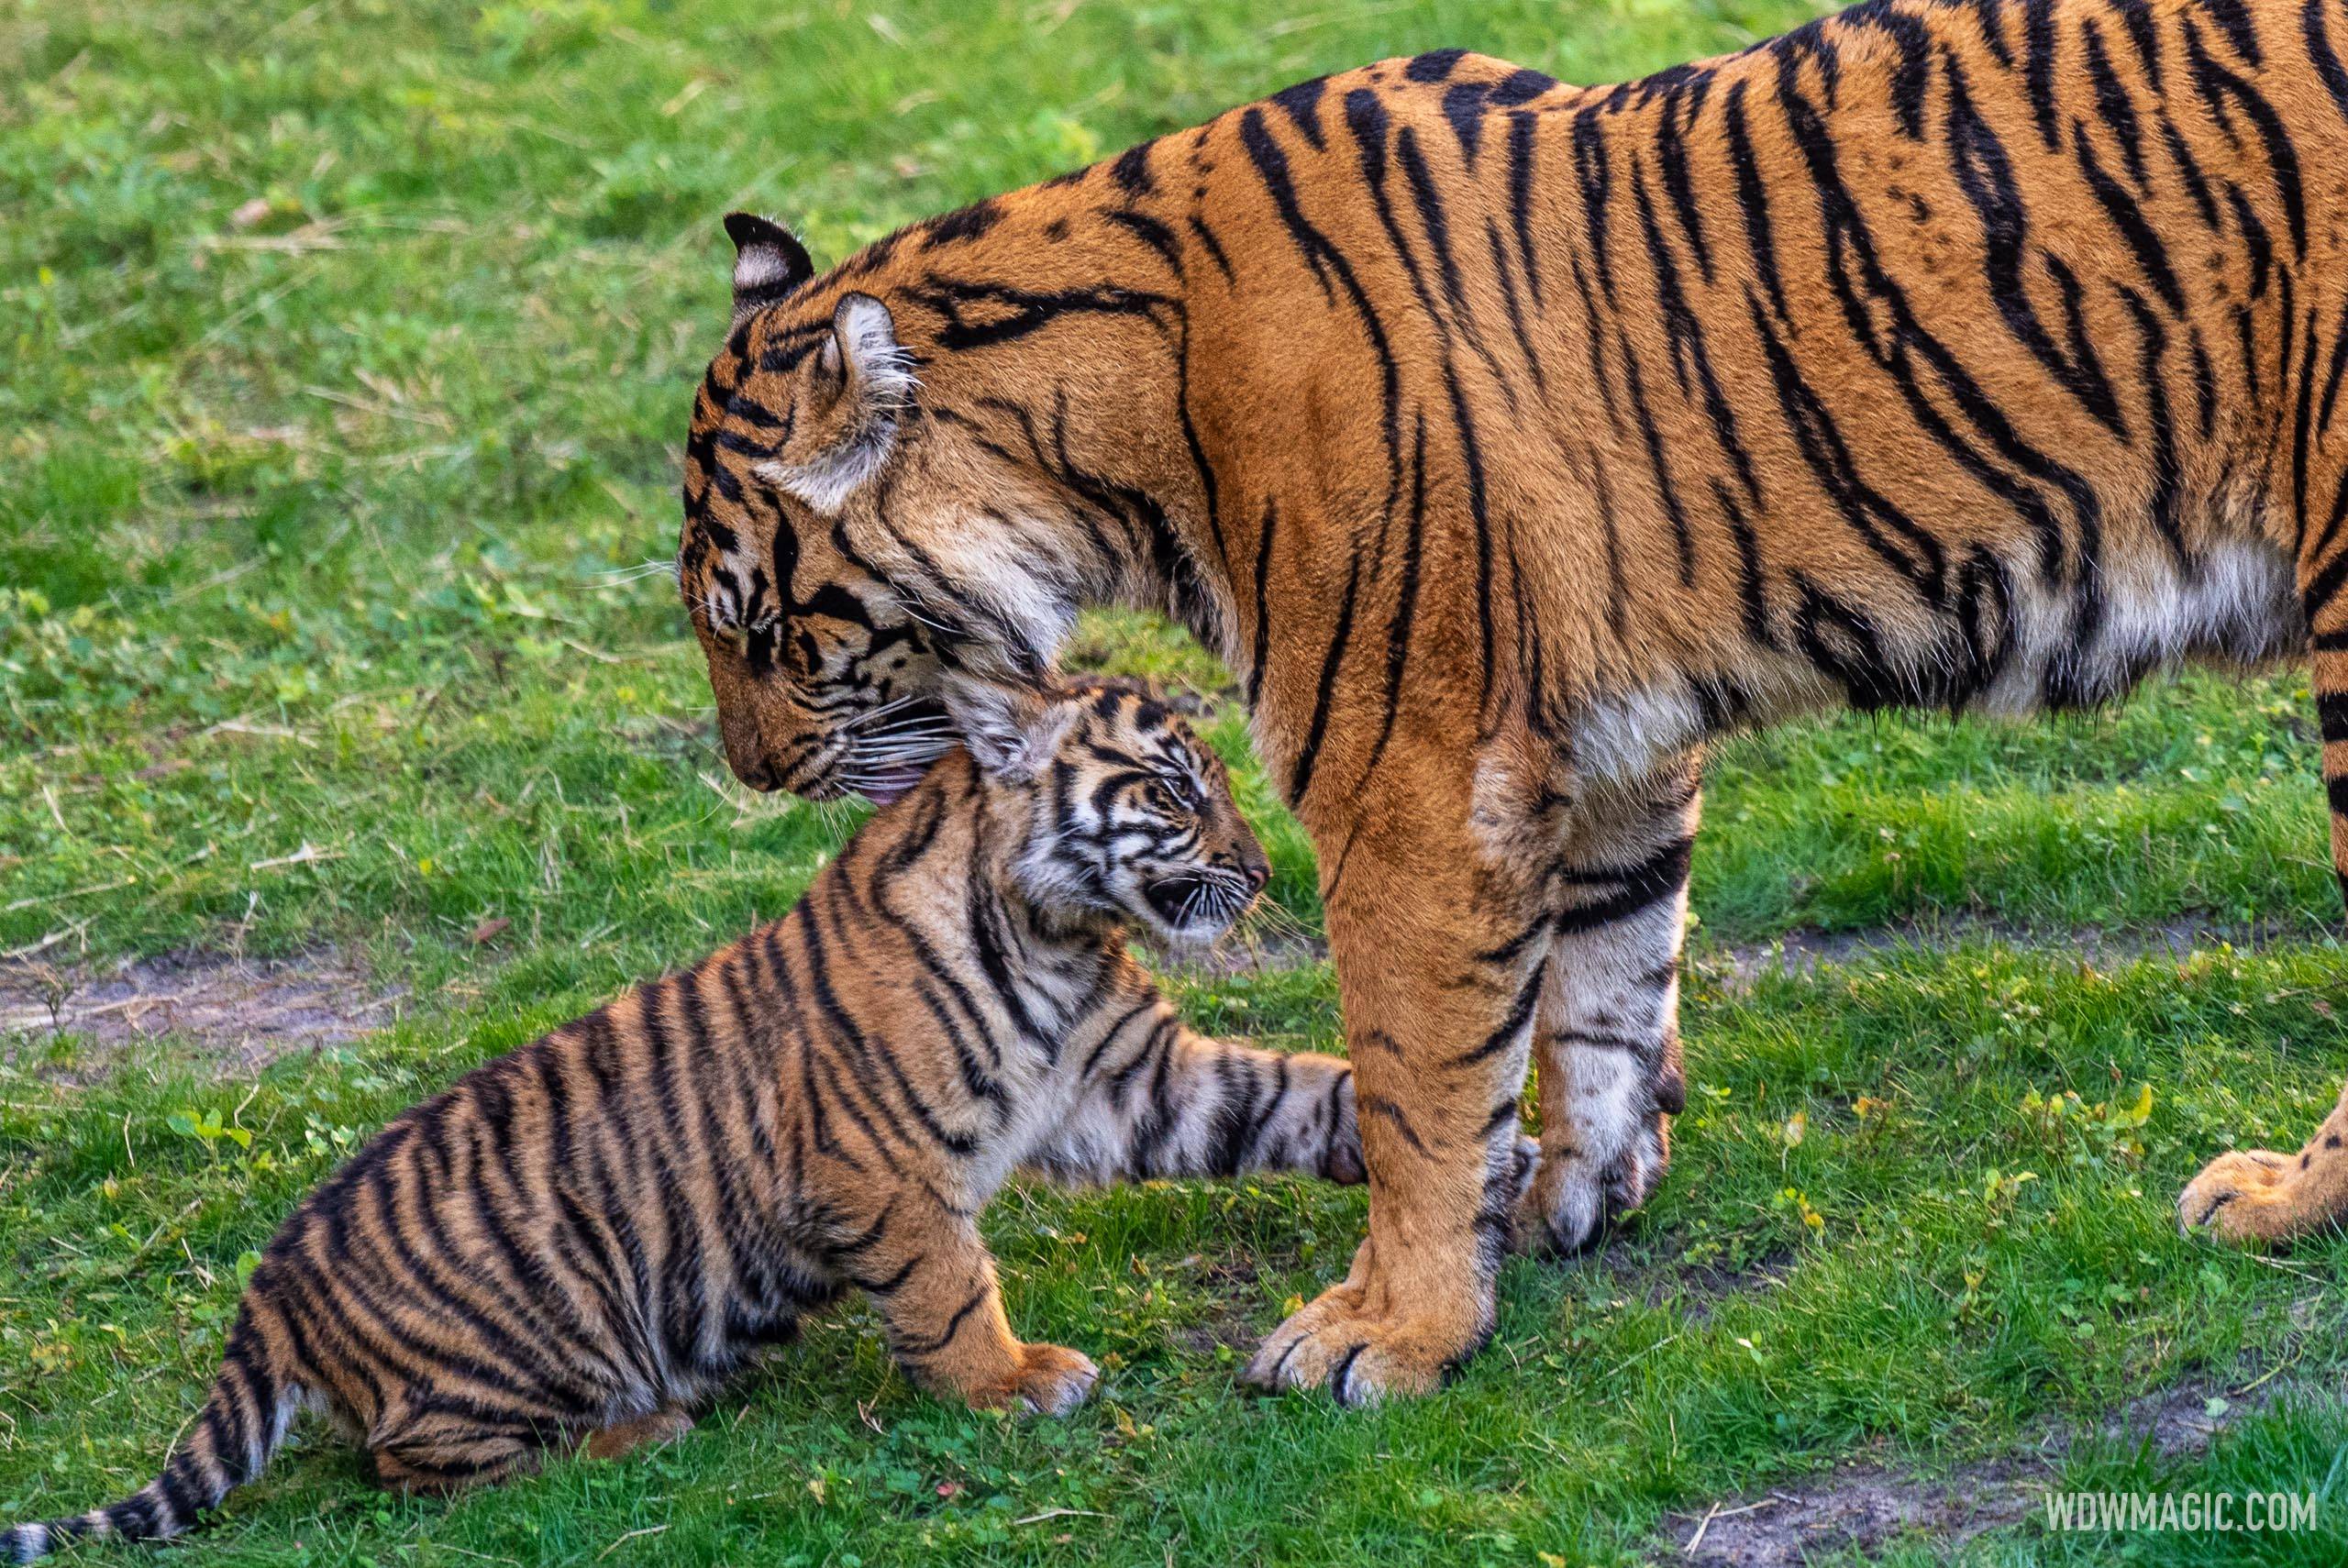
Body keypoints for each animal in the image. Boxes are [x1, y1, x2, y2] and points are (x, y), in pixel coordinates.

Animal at [685, 0, 2348, 1398]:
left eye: (754, 625)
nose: (752, 773)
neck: (1106, 435)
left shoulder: (1407, 779)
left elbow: (1416, 1072)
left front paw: (1388, 1329)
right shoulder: (1613, 746)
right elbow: (1603, 989)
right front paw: (1572, 1197)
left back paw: (2280, 1202)